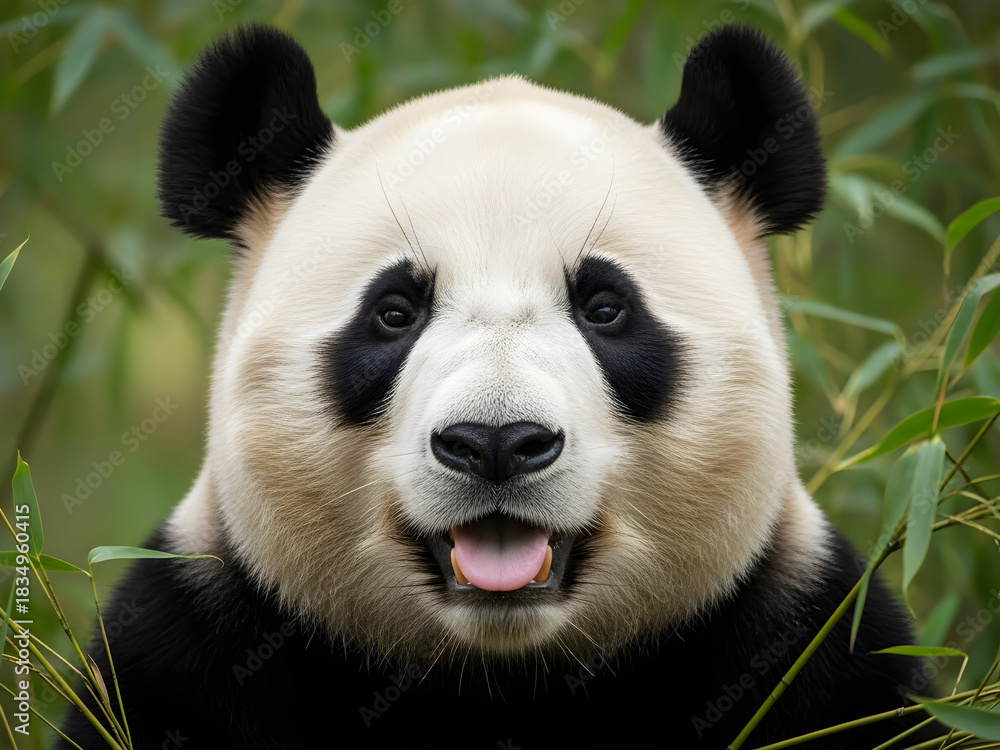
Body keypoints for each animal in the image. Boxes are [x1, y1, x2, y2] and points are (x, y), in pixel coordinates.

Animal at [59, 23, 940, 750]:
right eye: (393, 312)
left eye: (605, 307)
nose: (495, 444)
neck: (501, 677)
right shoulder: (194, 651)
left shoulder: (807, 647)